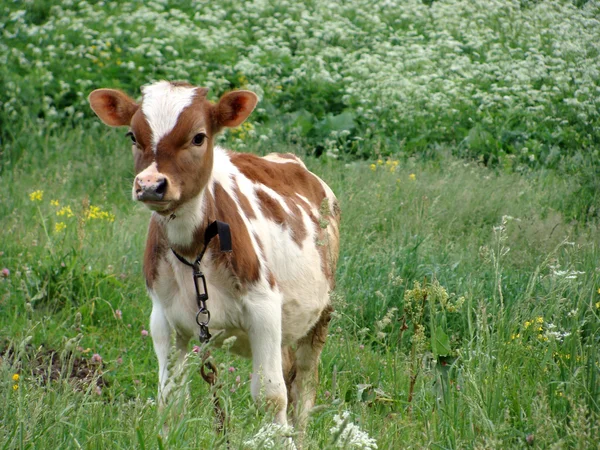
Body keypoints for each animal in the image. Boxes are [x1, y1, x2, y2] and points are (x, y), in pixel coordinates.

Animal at [89, 80, 342, 432]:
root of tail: (288, 159)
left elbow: (271, 397)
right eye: (132, 136)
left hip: (321, 313)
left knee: (303, 387)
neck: (193, 252)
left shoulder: (264, 308)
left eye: (198, 137)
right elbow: (170, 400)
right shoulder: (164, 319)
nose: (150, 185)